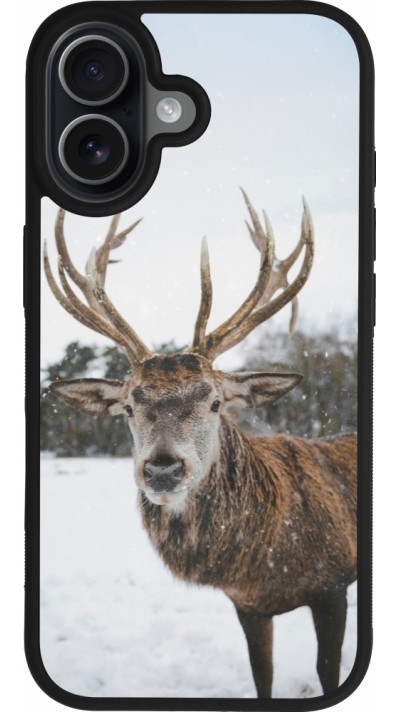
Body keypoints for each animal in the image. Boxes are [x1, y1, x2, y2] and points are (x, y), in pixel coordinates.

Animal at [44, 190, 357, 698]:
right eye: (128, 407)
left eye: (214, 401)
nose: (163, 469)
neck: (266, 563)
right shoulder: (247, 605)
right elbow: (262, 675)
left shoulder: (333, 585)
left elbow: (328, 671)